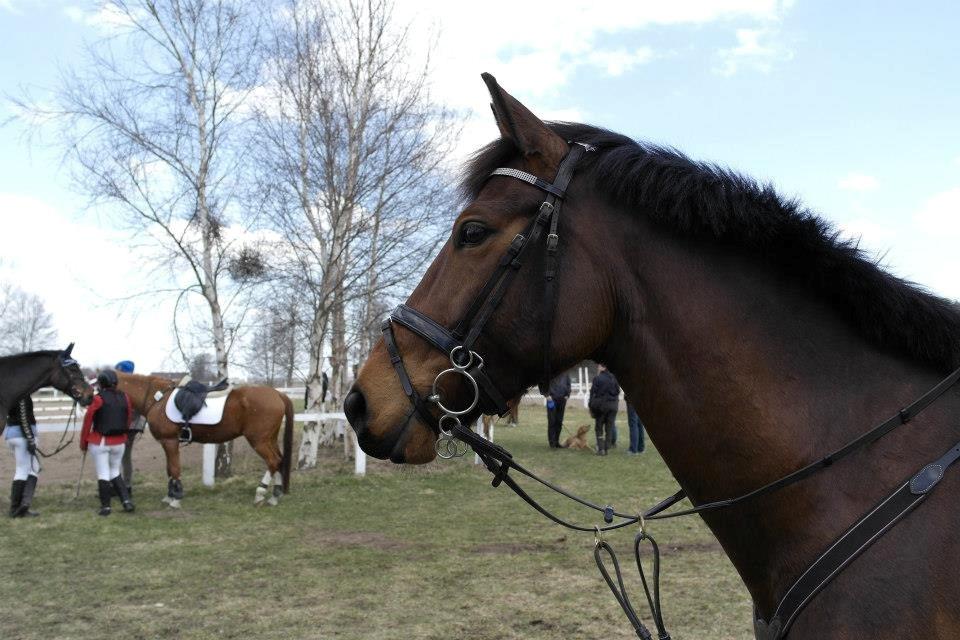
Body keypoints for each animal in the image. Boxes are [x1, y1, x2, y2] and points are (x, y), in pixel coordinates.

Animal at [115, 372, 292, 508]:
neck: (157, 398)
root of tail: (278, 394)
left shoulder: (170, 441)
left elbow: (174, 469)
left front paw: (176, 499)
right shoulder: (167, 443)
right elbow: (169, 469)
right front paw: (169, 495)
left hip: (259, 441)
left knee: (273, 461)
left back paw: (260, 493)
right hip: (270, 439)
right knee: (279, 460)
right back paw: (275, 496)